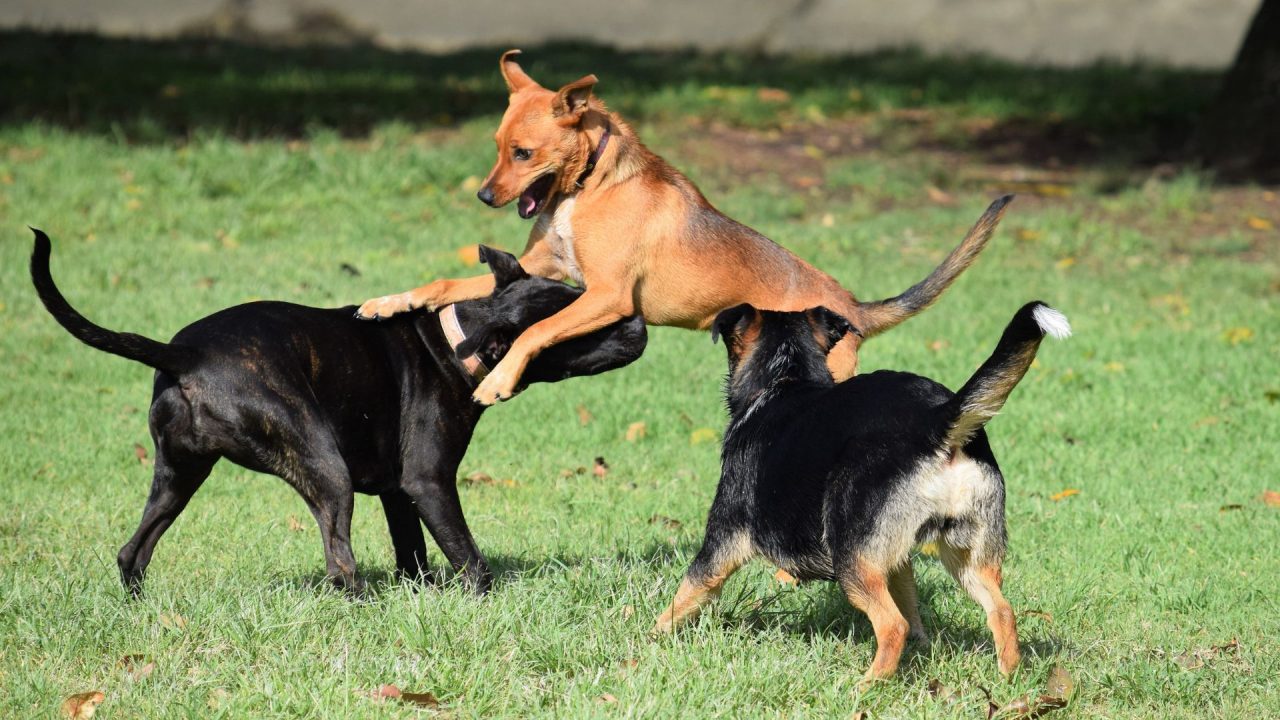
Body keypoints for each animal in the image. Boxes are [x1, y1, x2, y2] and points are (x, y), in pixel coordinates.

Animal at [28, 228, 645, 594]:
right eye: (581, 326)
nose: (638, 319)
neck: (454, 339)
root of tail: (185, 353)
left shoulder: (399, 493)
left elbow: (414, 555)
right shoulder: (429, 483)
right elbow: (469, 558)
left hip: (177, 476)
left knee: (132, 551)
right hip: (324, 468)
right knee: (339, 562)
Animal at [358, 49, 1008, 404]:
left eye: (522, 153)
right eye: (496, 146)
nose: (484, 195)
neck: (589, 186)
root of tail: (852, 307)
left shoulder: (607, 296)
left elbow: (533, 332)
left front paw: (497, 382)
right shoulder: (540, 270)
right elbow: (443, 285)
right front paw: (388, 302)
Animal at [650, 298, 1070, 676]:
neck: (785, 379)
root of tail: (937, 420)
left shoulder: (721, 543)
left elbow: (684, 595)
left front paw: (649, 640)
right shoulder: (896, 558)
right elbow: (911, 603)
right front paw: (923, 646)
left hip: (851, 555)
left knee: (892, 625)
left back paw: (866, 687)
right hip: (968, 554)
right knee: (1001, 611)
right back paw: (1007, 679)